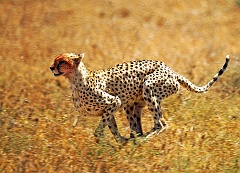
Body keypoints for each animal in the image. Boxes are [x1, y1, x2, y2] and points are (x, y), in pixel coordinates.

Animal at [49, 53, 230, 143]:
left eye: (61, 62)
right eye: (55, 60)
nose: (51, 67)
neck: (75, 79)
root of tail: (171, 71)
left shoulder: (114, 102)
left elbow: (100, 129)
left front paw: (104, 140)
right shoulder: (110, 109)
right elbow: (113, 128)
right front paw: (121, 141)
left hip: (149, 87)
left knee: (161, 124)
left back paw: (142, 139)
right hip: (132, 104)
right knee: (140, 127)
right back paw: (135, 138)